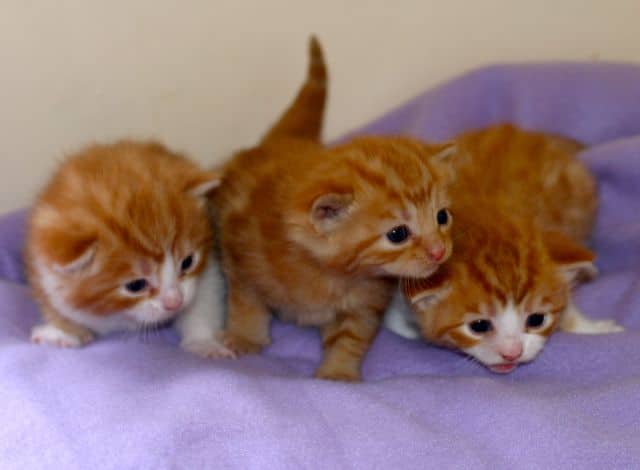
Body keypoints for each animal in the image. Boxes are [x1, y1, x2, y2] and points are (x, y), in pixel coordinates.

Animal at [26, 140, 233, 358]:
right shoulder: (42, 271)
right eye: (136, 285)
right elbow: (54, 303)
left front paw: (204, 342)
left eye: (187, 262)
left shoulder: (208, 272)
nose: (174, 302)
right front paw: (63, 331)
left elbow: (203, 302)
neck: (121, 316)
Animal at [213, 37, 458, 381]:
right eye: (397, 234)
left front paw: (338, 372)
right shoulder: (240, 258)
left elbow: (350, 337)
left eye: (442, 217)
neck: (331, 275)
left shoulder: (365, 304)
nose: (439, 251)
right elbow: (246, 303)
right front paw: (245, 338)